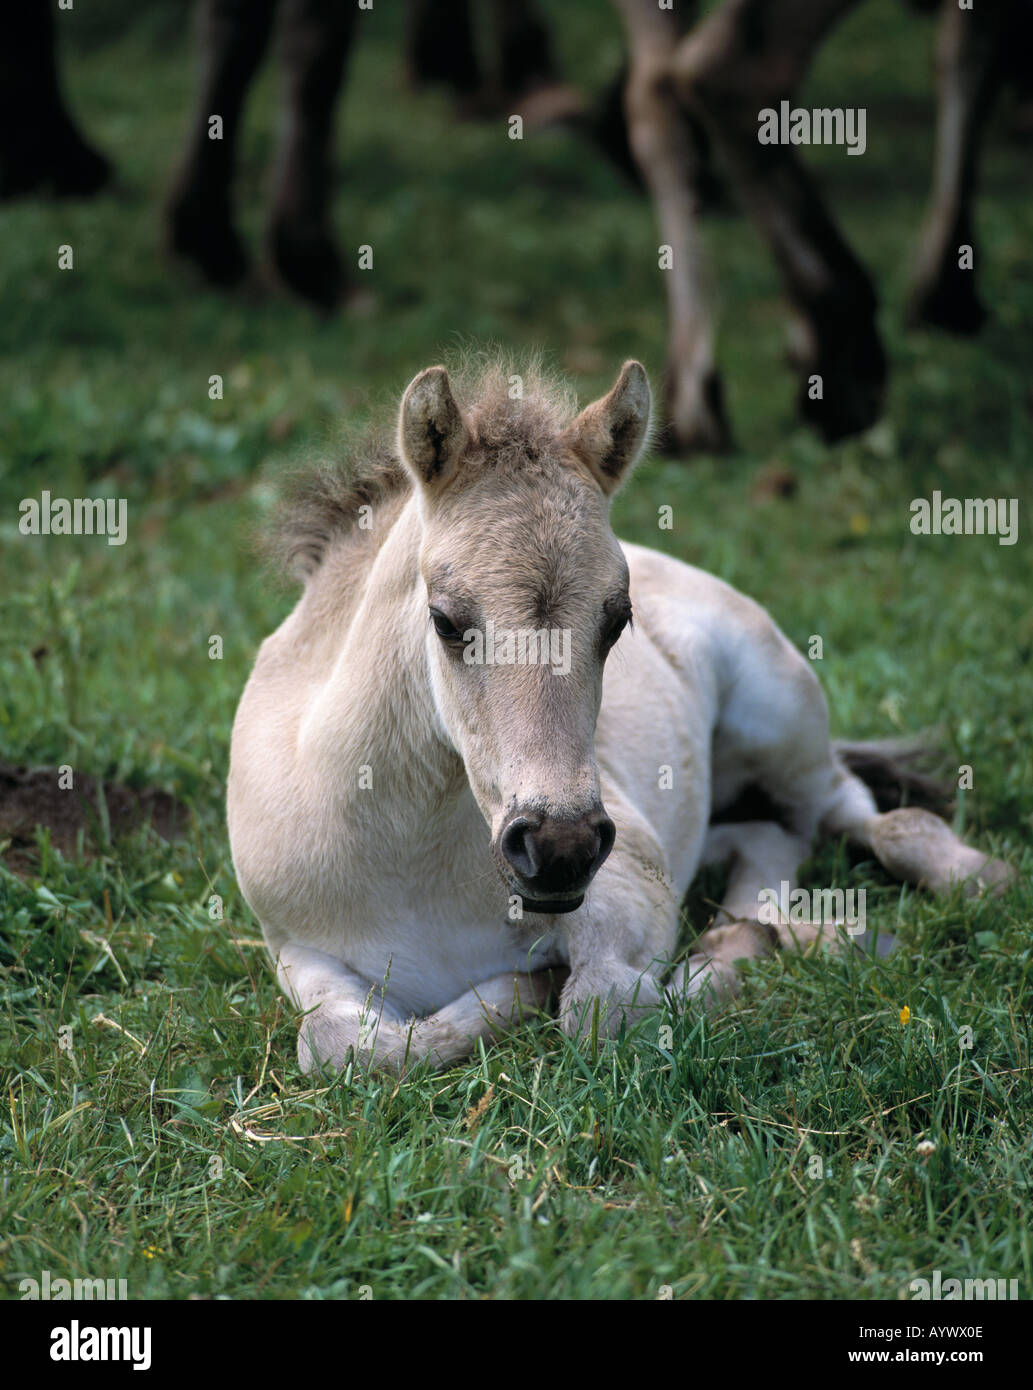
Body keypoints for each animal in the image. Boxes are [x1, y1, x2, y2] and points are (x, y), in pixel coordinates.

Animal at [228, 358, 1017, 1073]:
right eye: (446, 621)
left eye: (616, 621)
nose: (560, 847)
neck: (409, 861)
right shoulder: (299, 951)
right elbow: (338, 1047)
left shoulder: (630, 890)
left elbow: (599, 1012)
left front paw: (556, 988)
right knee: (769, 840)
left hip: (781, 722)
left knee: (865, 815)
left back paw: (969, 881)